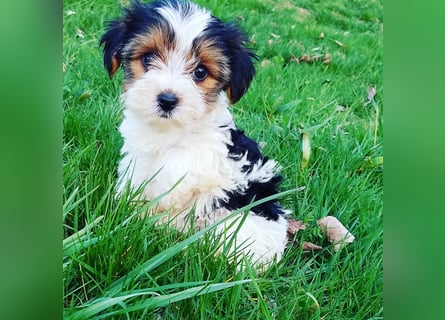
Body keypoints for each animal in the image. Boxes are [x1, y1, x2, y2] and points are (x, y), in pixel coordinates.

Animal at [99, 0, 290, 268]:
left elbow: (172, 182)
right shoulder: (138, 156)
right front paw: (123, 208)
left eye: (200, 72)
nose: (167, 100)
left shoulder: (200, 164)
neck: (171, 130)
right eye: (148, 58)